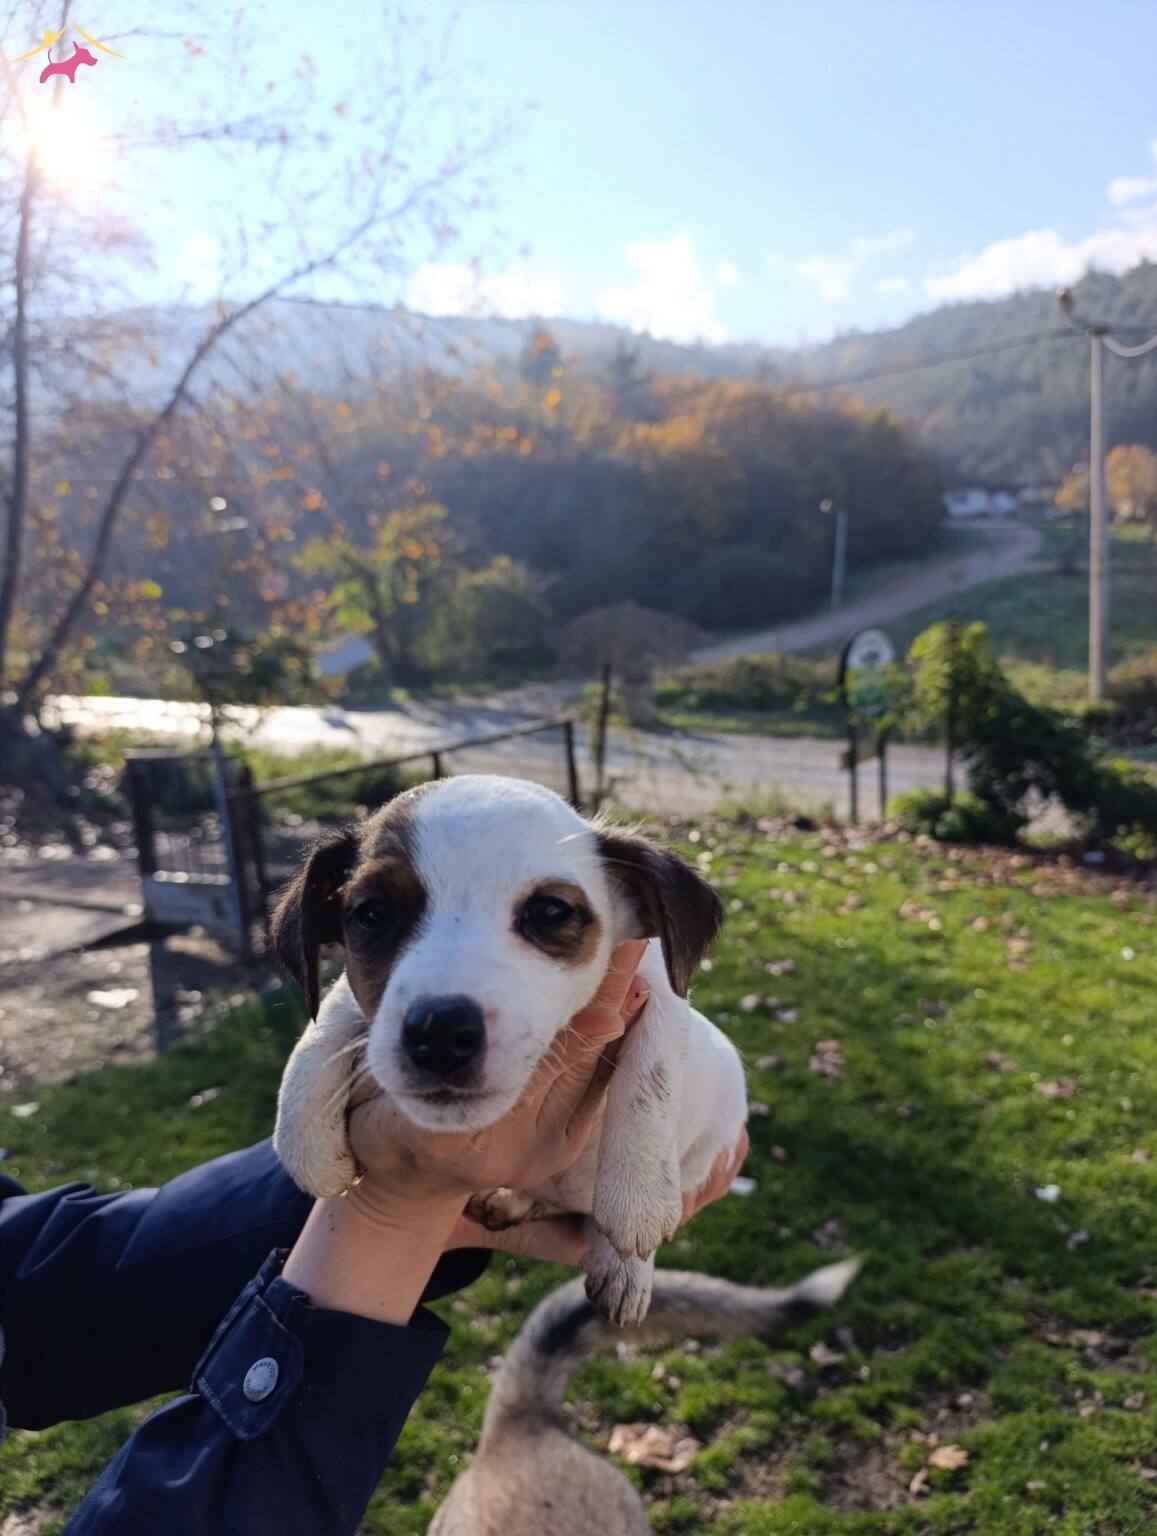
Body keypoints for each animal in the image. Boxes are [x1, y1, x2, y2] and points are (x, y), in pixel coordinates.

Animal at [271, 775, 747, 1324]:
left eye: (550, 912)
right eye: (372, 913)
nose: (439, 1033)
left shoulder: (659, 989)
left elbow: (652, 1078)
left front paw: (636, 1196)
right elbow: (327, 1020)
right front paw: (305, 1136)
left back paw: (623, 1265)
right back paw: (517, 1201)